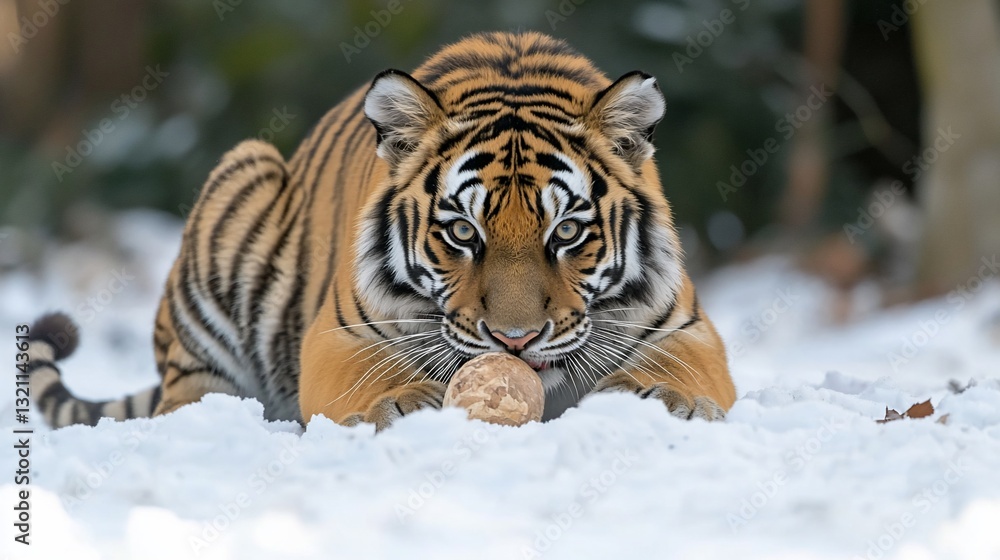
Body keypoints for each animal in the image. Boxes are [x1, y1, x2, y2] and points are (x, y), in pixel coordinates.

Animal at [27, 31, 736, 431]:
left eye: (565, 233)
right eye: (462, 233)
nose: (514, 341)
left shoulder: (686, 328)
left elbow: (678, 369)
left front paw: (657, 398)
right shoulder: (338, 336)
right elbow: (369, 377)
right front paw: (399, 404)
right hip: (242, 176)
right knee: (188, 393)